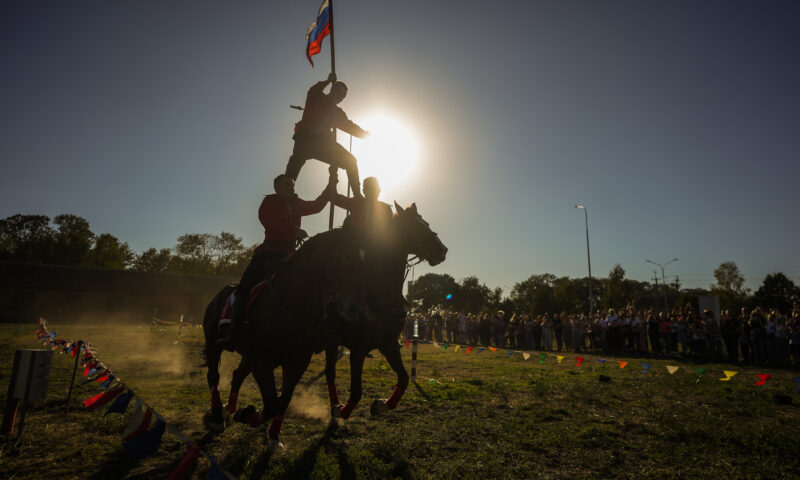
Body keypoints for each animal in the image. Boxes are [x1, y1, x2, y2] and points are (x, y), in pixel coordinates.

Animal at [202, 227, 364, 440]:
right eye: (346, 257)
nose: (356, 307)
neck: (292, 302)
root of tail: (217, 298)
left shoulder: (297, 363)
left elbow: (283, 401)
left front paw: (268, 432)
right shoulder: (262, 362)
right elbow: (272, 405)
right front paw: (246, 414)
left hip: (247, 356)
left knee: (237, 375)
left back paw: (229, 408)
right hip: (214, 344)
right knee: (214, 376)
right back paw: (217, 417)